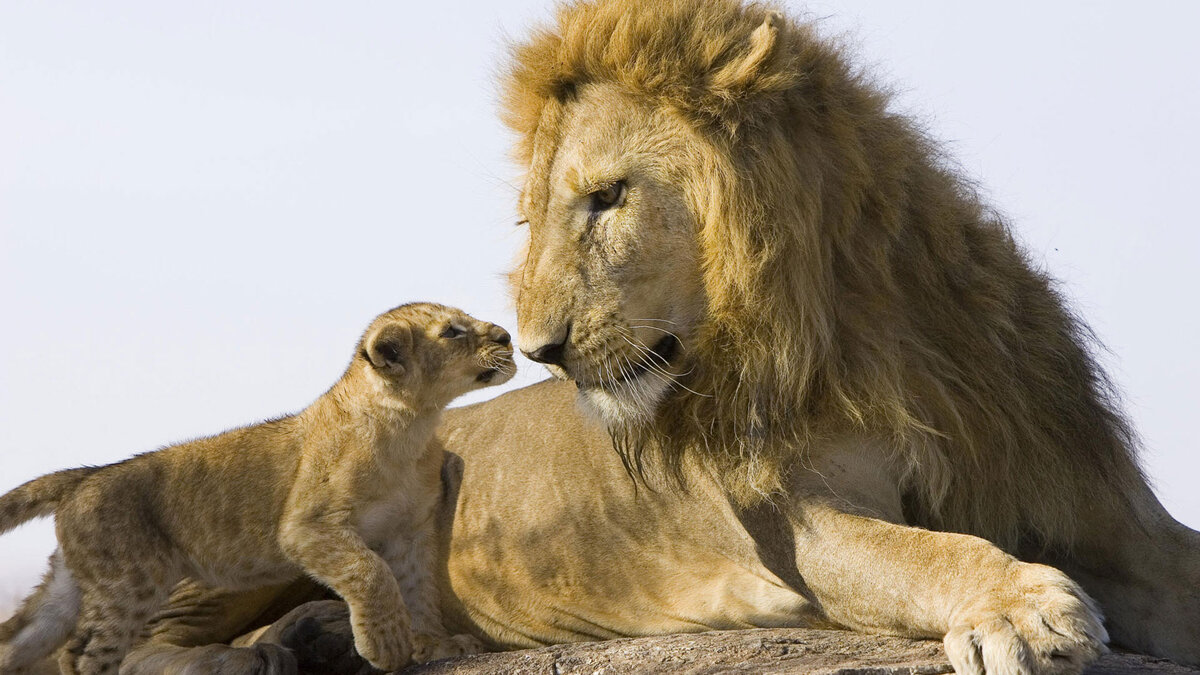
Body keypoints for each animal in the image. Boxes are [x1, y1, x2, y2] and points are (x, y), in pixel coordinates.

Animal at [58, 1, 1200, 672]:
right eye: (534, 218)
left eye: (607, 198)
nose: (539, 348)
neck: (863, 332)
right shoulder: (799, 525)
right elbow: (923, 548)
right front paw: (1022, 606)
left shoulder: (1097, 508)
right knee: (129, 641)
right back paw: (244, 654)